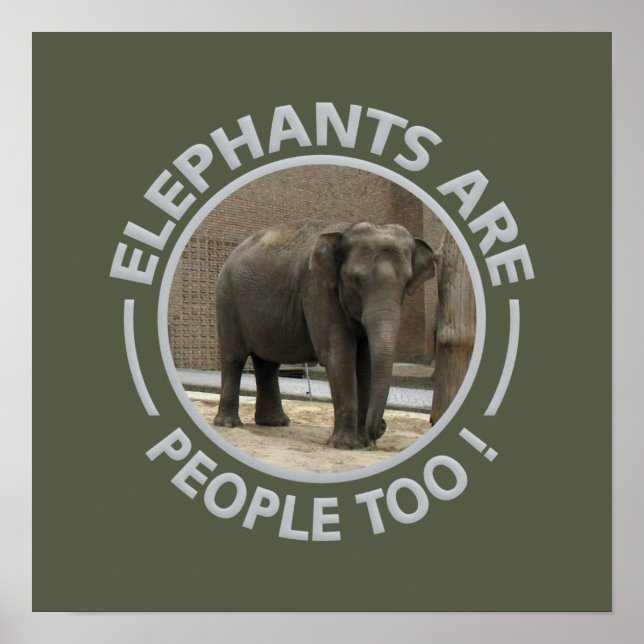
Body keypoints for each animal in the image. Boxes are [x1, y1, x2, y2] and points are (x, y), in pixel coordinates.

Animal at [213, 221, 436, 449]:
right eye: (356, 280)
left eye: (406, 282)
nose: (382, 426)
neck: (346, 230)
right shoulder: (317, 288)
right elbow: (339, 354)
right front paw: (345, 446)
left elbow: (365, 361)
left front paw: (364, 444)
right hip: (227, 300)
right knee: (234, 357)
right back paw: (230, 424)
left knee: (267, 362)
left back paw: (275, 423)